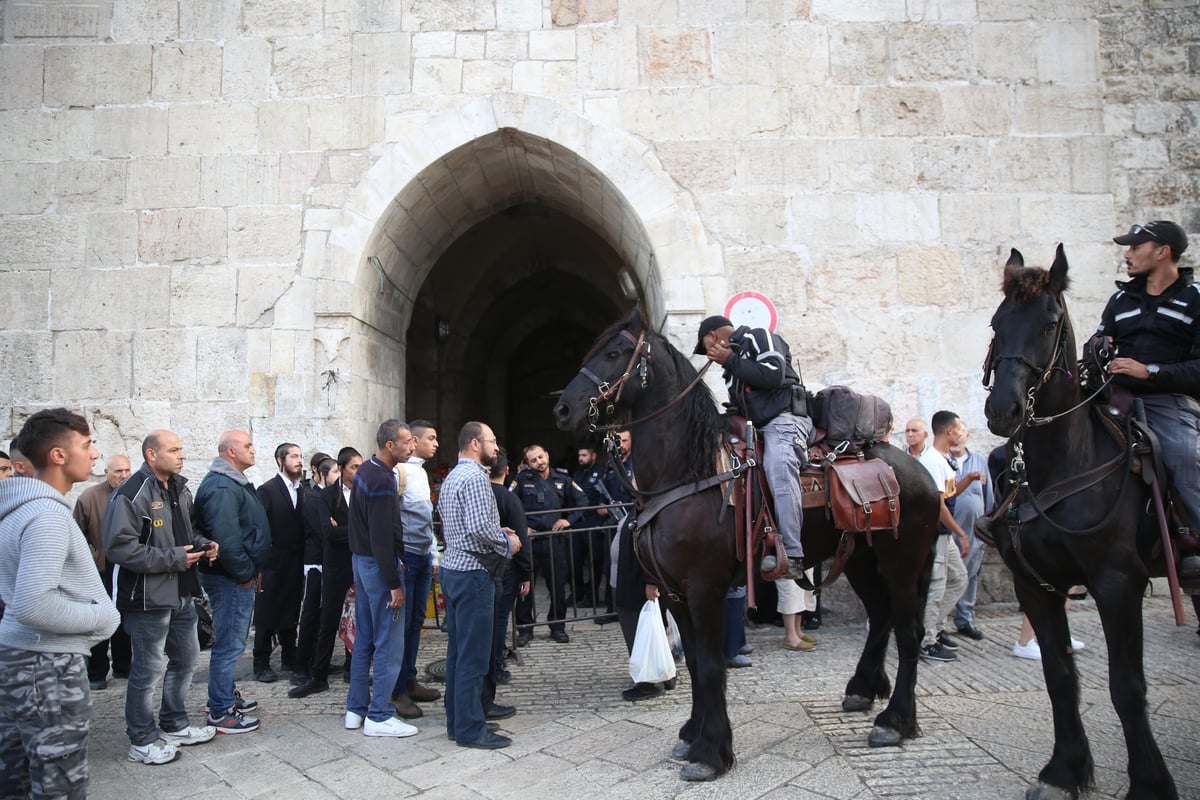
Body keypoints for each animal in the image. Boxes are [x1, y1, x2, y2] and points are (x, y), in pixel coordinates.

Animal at [549, 309, 936, 782]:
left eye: (615, 352)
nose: (562, 409)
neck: (689, 471)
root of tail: (919, 471)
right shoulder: (676, 593)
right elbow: (697, 664)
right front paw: (692, 734)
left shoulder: (705, 589)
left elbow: (713, 665)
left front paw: (711, 753)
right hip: (860, 560)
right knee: (881, 617)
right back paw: (863, 690)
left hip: (902, 562)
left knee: (908, 631)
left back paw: (895, 722)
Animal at [984, 245, 1180, 800]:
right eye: (997, 323)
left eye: (1050, 324)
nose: (1002, 411)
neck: (1062, 464)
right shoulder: (1036, 586)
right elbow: (1059, 677)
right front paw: (1063, 770)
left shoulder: (1117, 584)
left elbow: (1127, 687)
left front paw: (1150, 782)